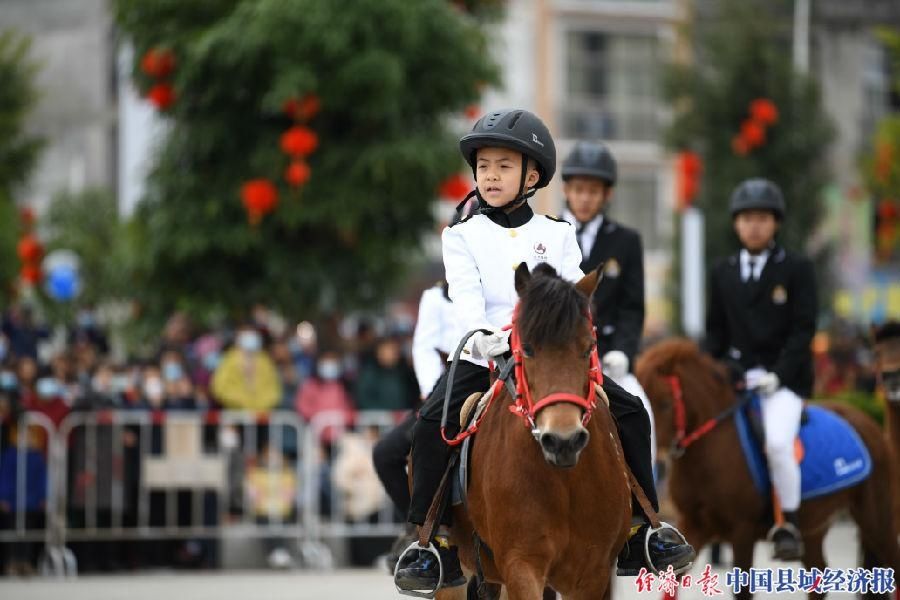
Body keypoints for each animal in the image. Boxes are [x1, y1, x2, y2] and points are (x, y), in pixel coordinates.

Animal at [440, 264, 628, 600]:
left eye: (589, 347)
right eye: (526, 348)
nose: (564, 441)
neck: (563, 479)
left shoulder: (593, 573)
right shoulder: (521, 563)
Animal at [636, 340, 896, 596]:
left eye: (665, 404)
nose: (653, 460)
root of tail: (867, 422)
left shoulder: (742, 531)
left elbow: (743, 590)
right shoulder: (693, 525)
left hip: (876, 520)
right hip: (814, 527)